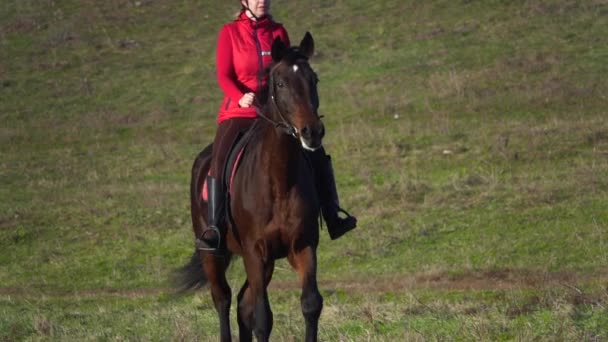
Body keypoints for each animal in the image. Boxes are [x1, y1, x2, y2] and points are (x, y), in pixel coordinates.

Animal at [176, 32, 326, 342]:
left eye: (314, 79)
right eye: (280, 83)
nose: (312, 132)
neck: (278, 181)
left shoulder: (303, 246)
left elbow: (310, 304)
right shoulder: (254, 252)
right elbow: (262, 319)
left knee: (243, 303)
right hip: (213, 254)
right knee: (222, 298)